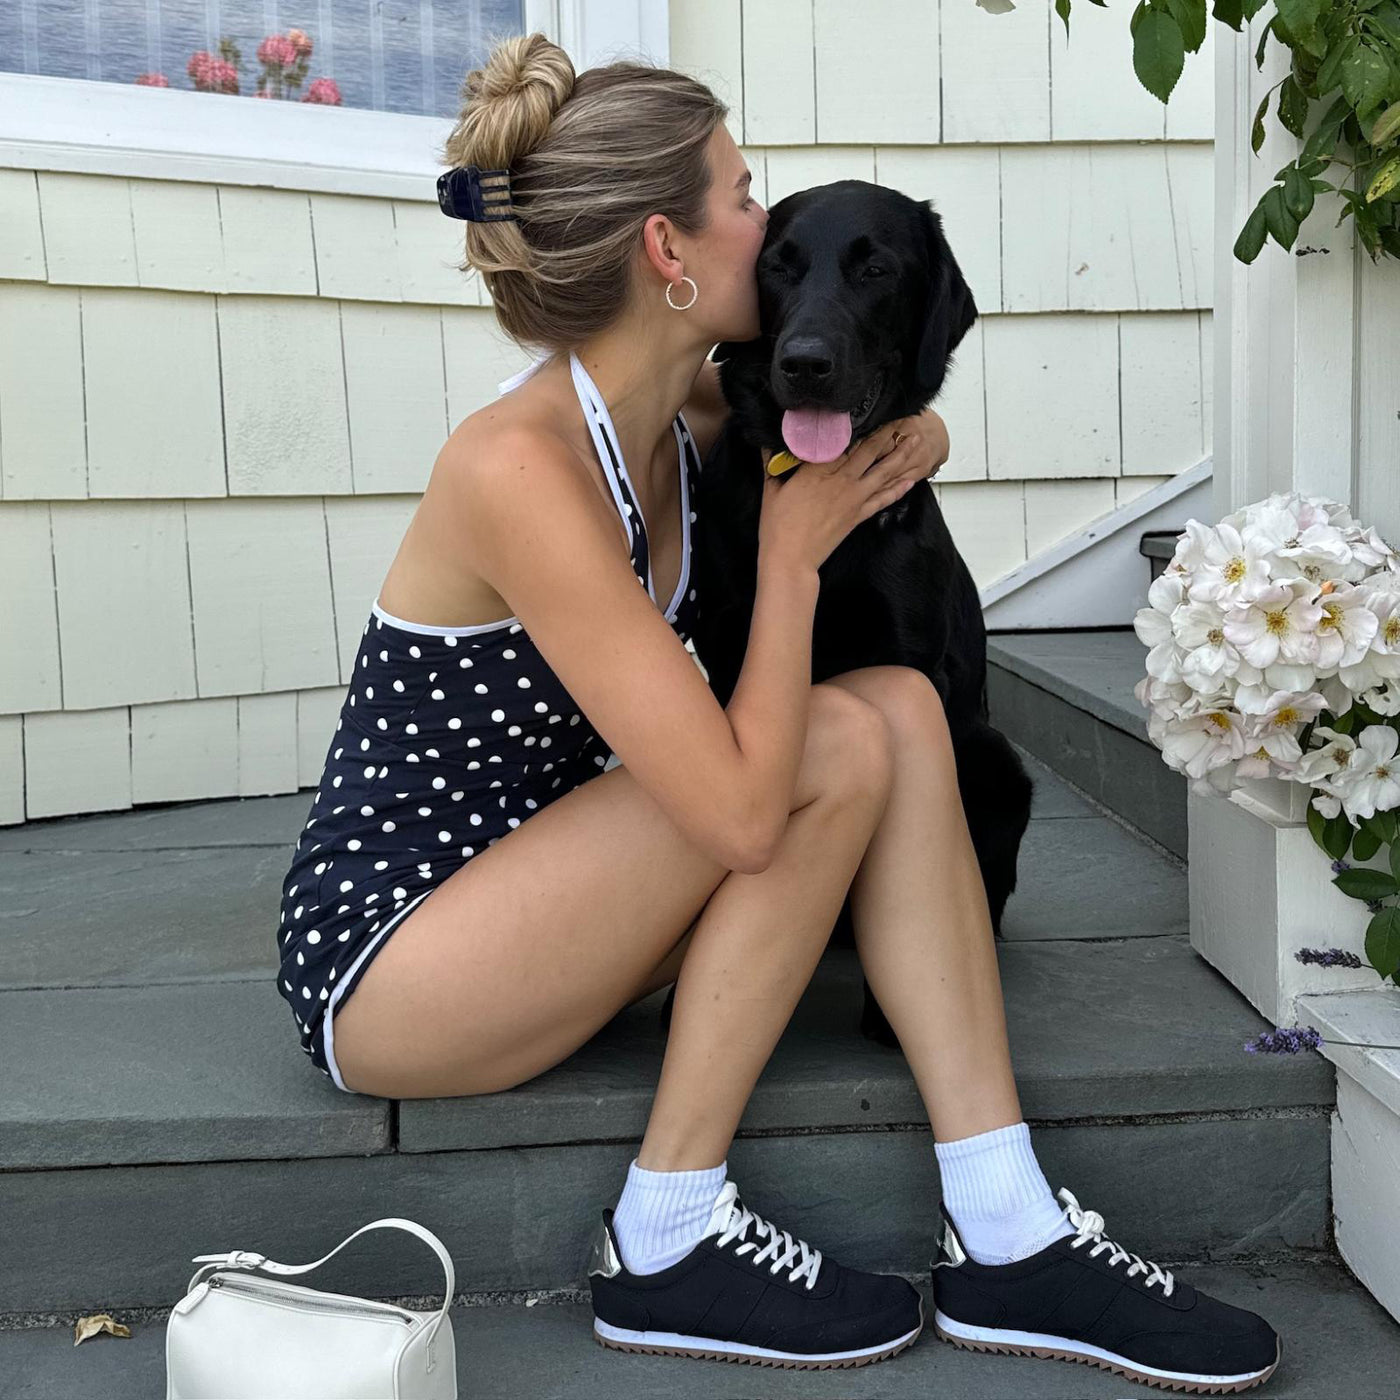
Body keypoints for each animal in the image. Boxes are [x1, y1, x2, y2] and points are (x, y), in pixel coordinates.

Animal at [683, 177, 1036, 1052]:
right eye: (777, 267)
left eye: (876, 269)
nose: (804, 363)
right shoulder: (729, 667)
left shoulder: (910, 671)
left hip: (996, 762)